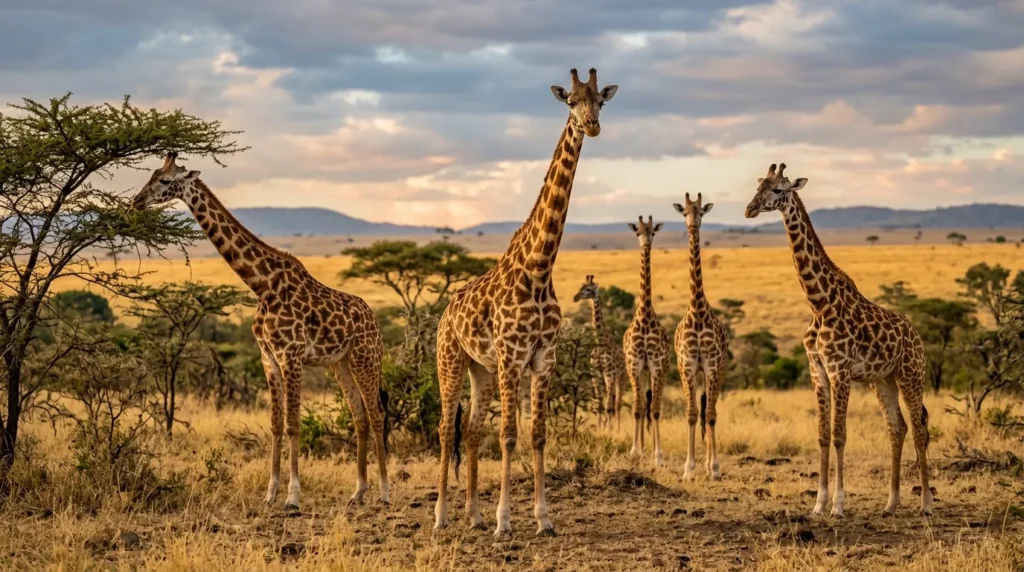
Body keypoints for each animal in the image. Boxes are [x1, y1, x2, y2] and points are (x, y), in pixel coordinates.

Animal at [130, 152, 390, 512]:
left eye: (166, 181)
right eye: (152, 175)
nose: (136, 201)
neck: (262, 285)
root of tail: (374, 319)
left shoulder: (291, 356)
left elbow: (293, 425)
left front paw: (293, 496)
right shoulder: (269, 358)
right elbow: (276, 425)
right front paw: (270, 493)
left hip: (366, 358)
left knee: (377, 414)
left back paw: (384, 492)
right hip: (341, 364)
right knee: (360, 417)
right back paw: (359, 491)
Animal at [434, 68, 618, 536]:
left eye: (600, 101)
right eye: (570, 101)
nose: (592, 126)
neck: (539, 268)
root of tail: (444, 314)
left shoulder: (543, 357)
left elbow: (536, 434)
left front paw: (543, 518)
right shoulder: (512, 356)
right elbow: (509, 436)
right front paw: (505, 521)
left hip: (480, 370)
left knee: (470, 430)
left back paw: (473, 515)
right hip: (451, 361)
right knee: (445, 428)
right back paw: (442, 516)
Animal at [573, 275, 628, 430]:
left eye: (589, 289)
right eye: (581, 287)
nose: (575, 297)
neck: (600, 342)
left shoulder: (609, 373)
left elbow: (609, 406)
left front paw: (608, 430)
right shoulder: (596, 374)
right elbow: (599, 405)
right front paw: (599, 429)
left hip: (621, 377)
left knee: (617, 404)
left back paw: (617, 429)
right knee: (612, 401)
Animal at [744, 162, 932, 517]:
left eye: (778, 190)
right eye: (758, 186)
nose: (749, 209)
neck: (819, 303)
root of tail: (916, 336)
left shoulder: (839, 371)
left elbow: (840, 435)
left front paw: (839, 505)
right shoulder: (817, 371)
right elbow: (822, 435)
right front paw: (818, 504)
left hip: (911, 375)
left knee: (919, 428)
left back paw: (927, 504)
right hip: (882, 380)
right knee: (897, 427)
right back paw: (891, 503)